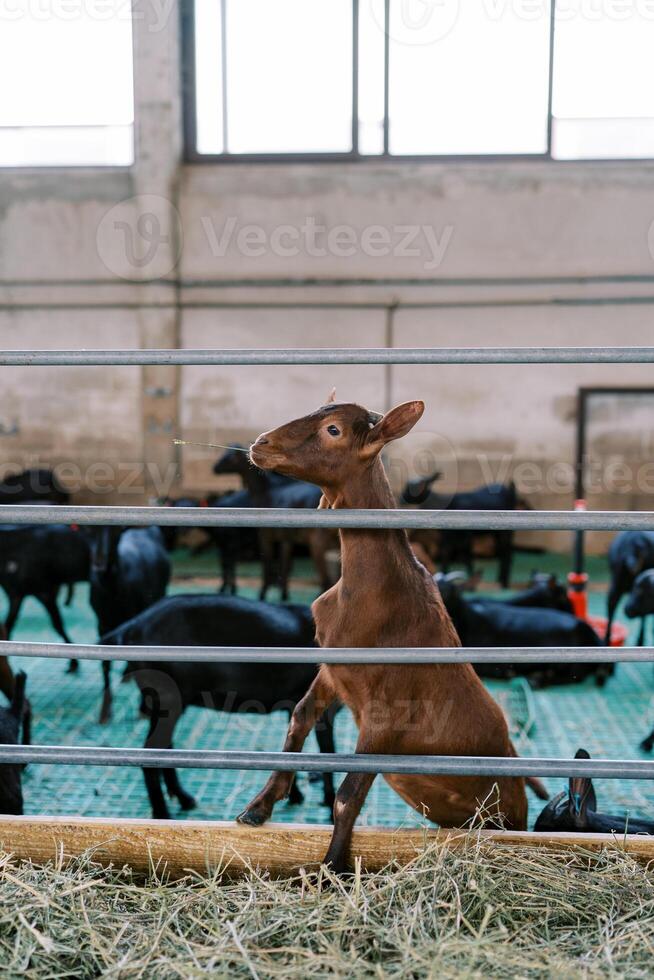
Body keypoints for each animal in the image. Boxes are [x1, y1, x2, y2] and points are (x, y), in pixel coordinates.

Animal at [86, 524, 170, 724]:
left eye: (116, 531)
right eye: (87, 530)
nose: (98, 562)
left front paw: (143, 708)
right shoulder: (102, 623)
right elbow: (105, 663)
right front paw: (105, 712)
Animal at [104, 592, 338, 824]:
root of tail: (131, 627)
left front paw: (296, 795)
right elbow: (327, 751)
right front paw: (329, 805)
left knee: (163, 748)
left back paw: (184, 799)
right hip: (168, 697)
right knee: (151, 750)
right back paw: (163, 814)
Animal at [238, 398, 536, 872]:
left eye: (334, 429)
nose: (260, 444)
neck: (372, 590)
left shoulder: (386, 714)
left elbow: (347, 796)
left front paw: (330, 868)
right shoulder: (333, 668)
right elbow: (299, 719)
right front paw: (259, 806)